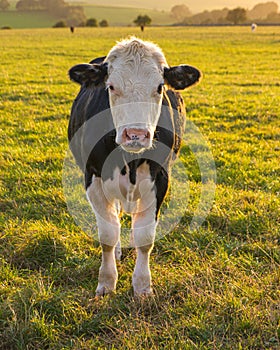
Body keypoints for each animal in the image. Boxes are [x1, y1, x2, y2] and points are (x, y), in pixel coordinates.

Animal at [68, 37, 201, 296]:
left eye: (160, 87)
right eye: (111, 87)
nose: (136, 134)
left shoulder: (160, 178)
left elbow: (145, 236)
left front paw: (142, 286)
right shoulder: (93, 177)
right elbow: (108, 233)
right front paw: (107, 282)